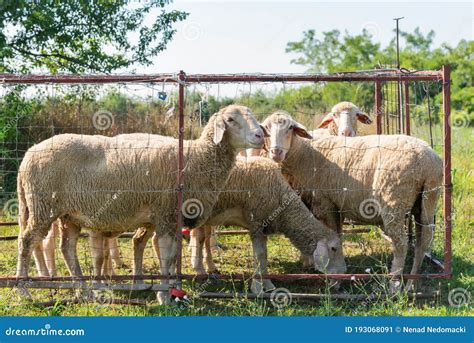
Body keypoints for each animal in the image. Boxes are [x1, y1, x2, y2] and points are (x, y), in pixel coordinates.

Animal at [15, 105, 266, 304]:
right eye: (231, 120)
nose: (259, 135)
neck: (196, 158)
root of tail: (28, 155)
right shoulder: (165, 213)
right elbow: (166, 254)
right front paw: (164, 295)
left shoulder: (171, 217)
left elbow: (172, 255)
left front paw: (172, 287)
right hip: (42, 206)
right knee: (27, 241)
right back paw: (23, 291)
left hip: (69, 214)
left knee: (67, 248)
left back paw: (83, 291)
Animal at [262, 111, 442, 292]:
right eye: (266, 129)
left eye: (290, 128)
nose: (276, 152)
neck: (304, 155)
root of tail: (427, 160)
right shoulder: (336, 205)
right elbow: (337, 234)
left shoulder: (325, 203)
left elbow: (333, 235)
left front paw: (335, 279)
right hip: (427, 201)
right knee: (423, 241)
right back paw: (412, 284)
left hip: (394, 201)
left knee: (401, 244)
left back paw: (394, 285)